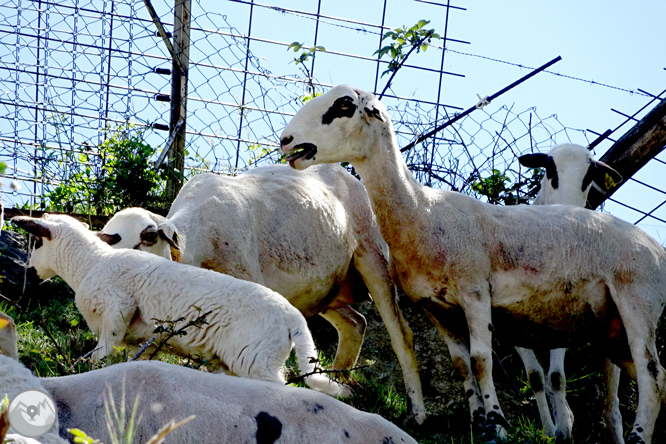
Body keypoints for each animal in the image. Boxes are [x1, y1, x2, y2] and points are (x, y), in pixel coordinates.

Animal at [10, 213, 348, 398]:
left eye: (37, 242)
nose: (29, 272)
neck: (89, 263)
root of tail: (294, 318)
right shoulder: (143, 340)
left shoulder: (118, 308)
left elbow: (100, 355)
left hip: (256, 360)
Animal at [520, 144, 624, 442]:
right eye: (549, 169)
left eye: (590, 175)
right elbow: (536, 378)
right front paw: (550, 430)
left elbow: (556, 379)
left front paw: (564, 434)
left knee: (612, 405)